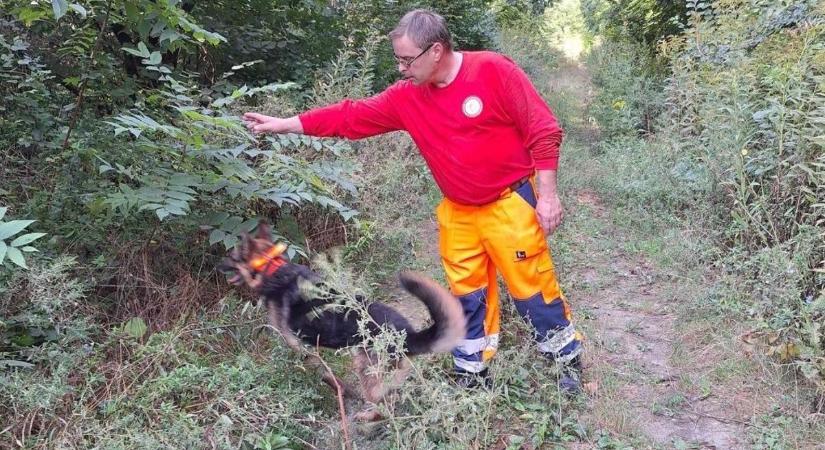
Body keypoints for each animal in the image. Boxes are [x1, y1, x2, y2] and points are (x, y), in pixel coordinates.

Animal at [217, 227, 464, 420]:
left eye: (233, 257)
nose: (219, 264)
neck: (272, 267)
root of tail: (408, 334)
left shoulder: (302, 349)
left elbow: (326, 376)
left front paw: (341, 390)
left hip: (365, 367)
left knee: (382, 404)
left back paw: (370, 416)